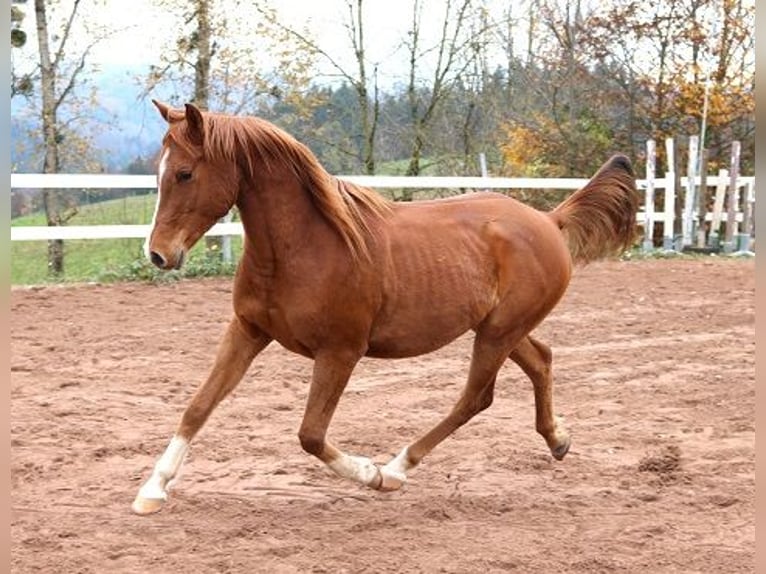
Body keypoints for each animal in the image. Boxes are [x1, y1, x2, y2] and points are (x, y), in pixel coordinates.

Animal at [130, 100, 636, 516]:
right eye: (158, 171)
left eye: (185, 173)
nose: (157, 254)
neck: (306, 248)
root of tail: (549, 220)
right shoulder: (248, 330)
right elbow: (198, 407)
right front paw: (152, 491)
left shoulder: (340, 352)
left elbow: (310, 434)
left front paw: (370, 474)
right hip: (500, 328)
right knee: (540, 360)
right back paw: (558, 440)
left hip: (497, 333)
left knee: (475, 397)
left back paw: (396, 468)